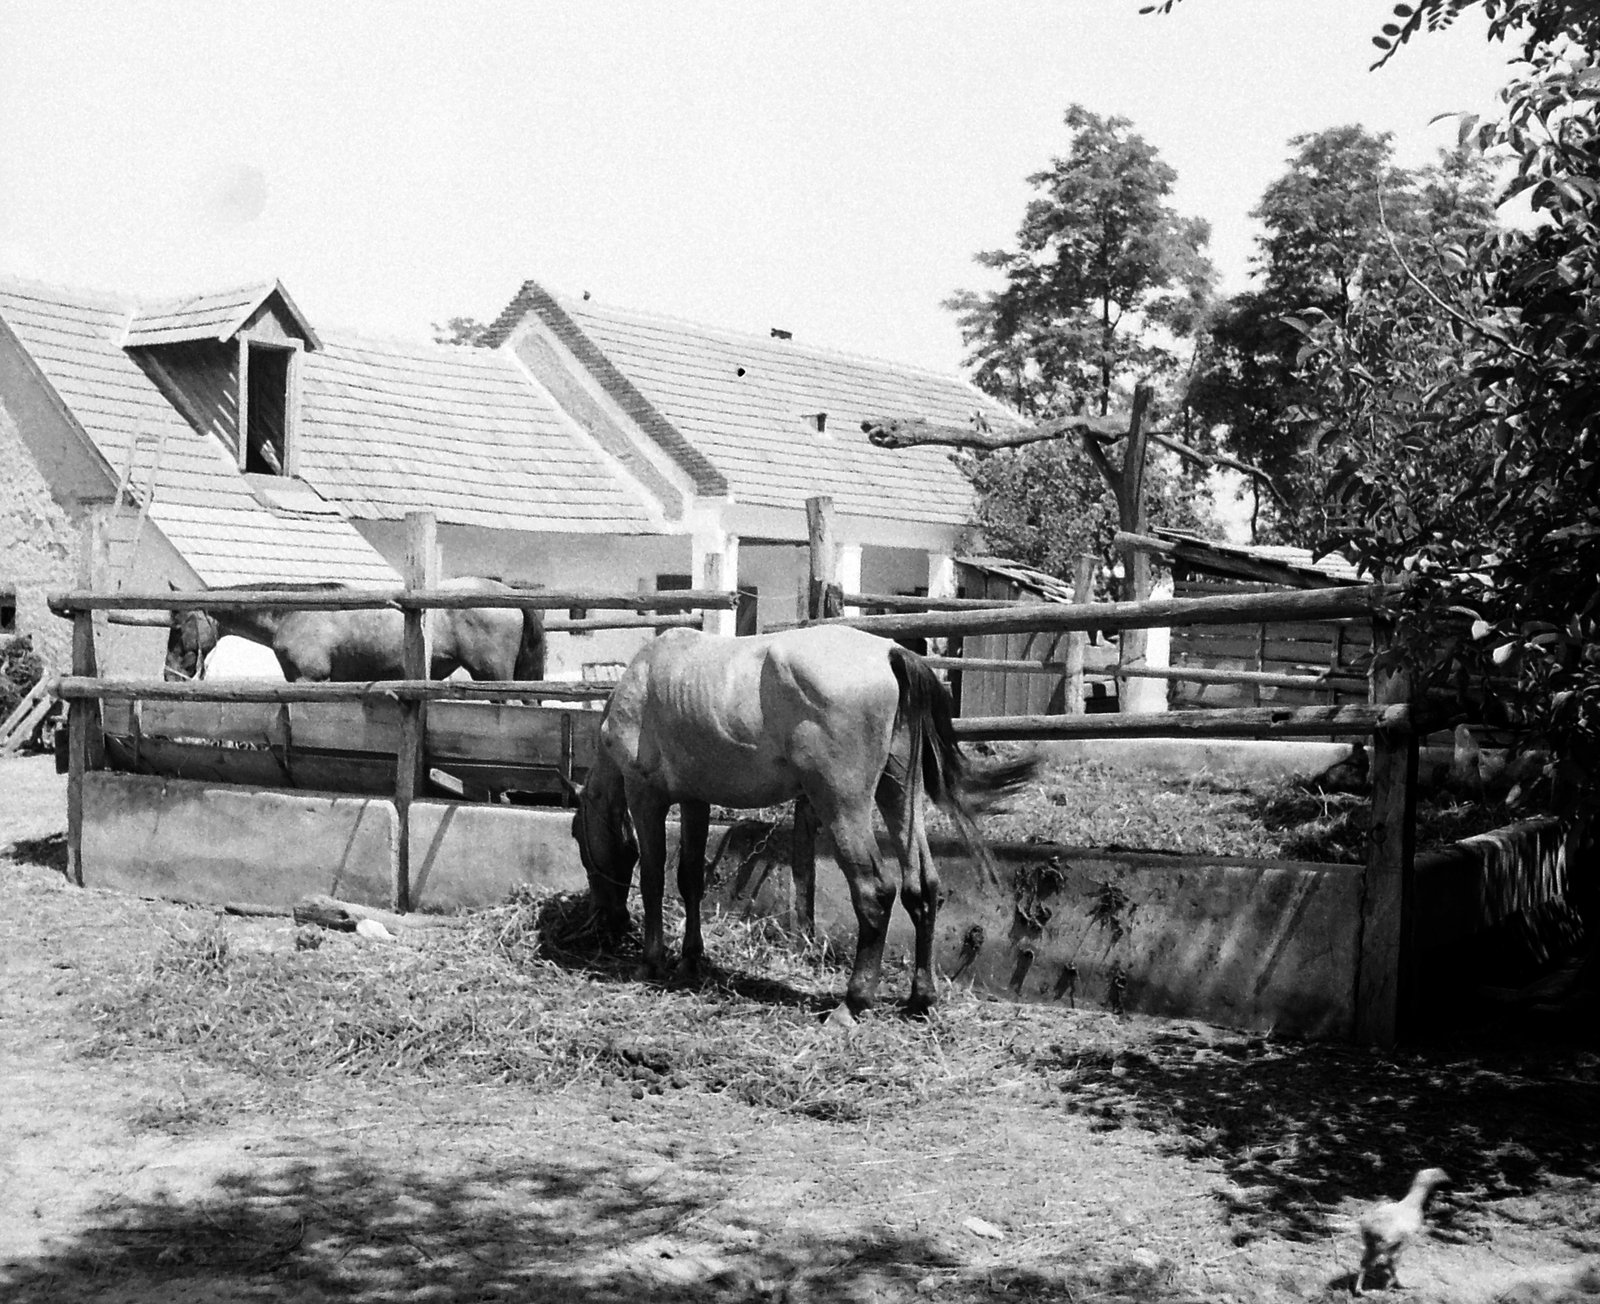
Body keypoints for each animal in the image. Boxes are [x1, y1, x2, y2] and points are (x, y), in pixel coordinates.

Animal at [164, 578, 545, 683]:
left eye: (179, 626)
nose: (169, 675)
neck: (293, 613)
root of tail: (505, 592)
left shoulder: (311, 680)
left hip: (492, 676)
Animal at [571, 625, 1032, 1016]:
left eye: (578, 837)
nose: (609, 921)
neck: (648, 675)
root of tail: (889, 653)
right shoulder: (695, 801)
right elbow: (689, 880)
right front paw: (690, 959)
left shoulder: (645, 796)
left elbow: (652, 878)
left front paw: (651, 962)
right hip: (899, 795)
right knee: (922, 887)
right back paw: (921, 998)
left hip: (843, 806)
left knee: (875, 892)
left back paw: (854, 1002)